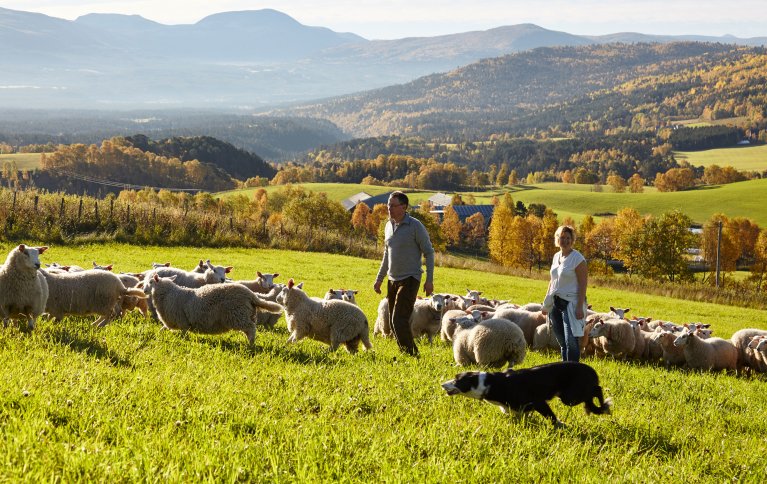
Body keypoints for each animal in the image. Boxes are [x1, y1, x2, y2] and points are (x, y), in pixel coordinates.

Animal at [141, 274, 282, 346]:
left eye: (151, 282)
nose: (144, 290)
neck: (168, 294)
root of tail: (250, 294)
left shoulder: (183, 322)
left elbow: (183, 334)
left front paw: (182, 340)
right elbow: (162, 329)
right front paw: (158, 335)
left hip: (238, 315)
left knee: (251, 329)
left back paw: (251, 345)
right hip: (247, 315)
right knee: (251, 328)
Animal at [444, 362, 612, 426]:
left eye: (457, 380)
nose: (442, 384)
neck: (489, 383)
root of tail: (591, 370)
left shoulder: (538, 402)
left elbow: (552, 417)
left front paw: (560, 425)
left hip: (569, 397)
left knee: (597, 389)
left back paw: (603, 406)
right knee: (592, 395)